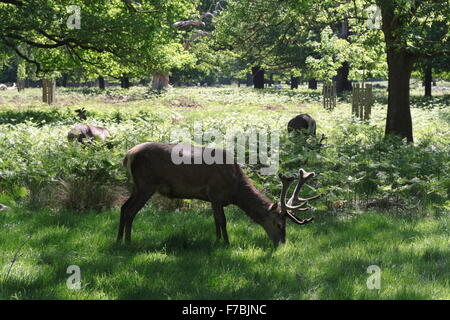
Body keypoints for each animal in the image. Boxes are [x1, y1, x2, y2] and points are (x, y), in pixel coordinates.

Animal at [116, 143, 320, 248]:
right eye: (279, 224)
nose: (282, 243)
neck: (235, 189)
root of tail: (128, 155)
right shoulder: (215, 192)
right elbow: (222, 221)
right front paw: (227, 243)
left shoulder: (214, 199)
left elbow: (215, 220)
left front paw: (217, 240)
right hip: (146, 185)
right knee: (131, 211)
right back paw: (128, 242)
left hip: (137, 186)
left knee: (123, 207)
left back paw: (118, 240)